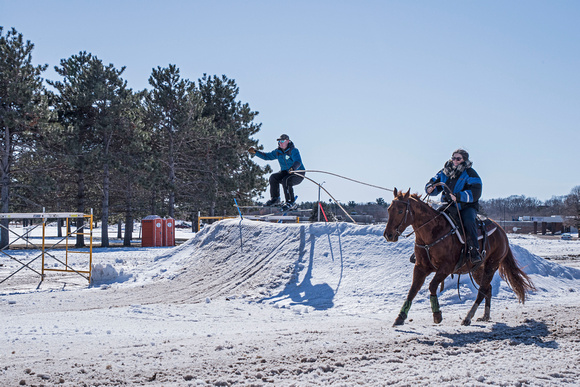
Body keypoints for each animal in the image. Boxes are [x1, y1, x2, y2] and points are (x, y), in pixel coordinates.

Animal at [382, 189, 536, 326]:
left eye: (400, 211)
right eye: (389, 209)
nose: (388, 235)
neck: (432, 233)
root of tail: (502, 232)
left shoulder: (446, 267)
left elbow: (432, 286)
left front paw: (437, 314)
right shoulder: (420, 267)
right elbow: (413, 290)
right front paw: (400, 317)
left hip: (491, 265)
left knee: (482, 291)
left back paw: (468, 317)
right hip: (477, 269)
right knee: (488, 288)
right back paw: (485, 316)